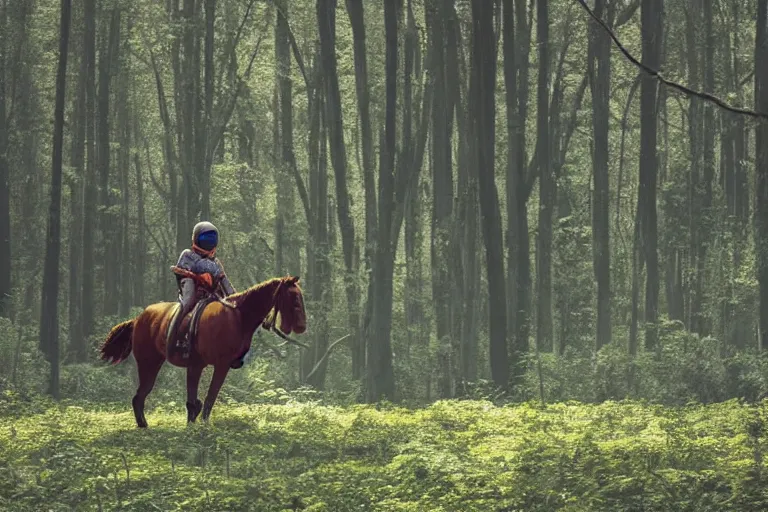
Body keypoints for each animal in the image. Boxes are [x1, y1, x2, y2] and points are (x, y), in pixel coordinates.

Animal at [98, 276, 306, 428]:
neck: (237, 317)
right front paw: (201, 425)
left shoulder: (206, 366)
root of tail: (138, 319)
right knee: (139, 396)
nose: (302, 327)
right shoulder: (214, 365)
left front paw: (196, 423)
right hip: (147, 363)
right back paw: (143, 424)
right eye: (294, 299)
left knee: (141, 395)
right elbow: (206, 397)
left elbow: (202, 398)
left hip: (156, 363)